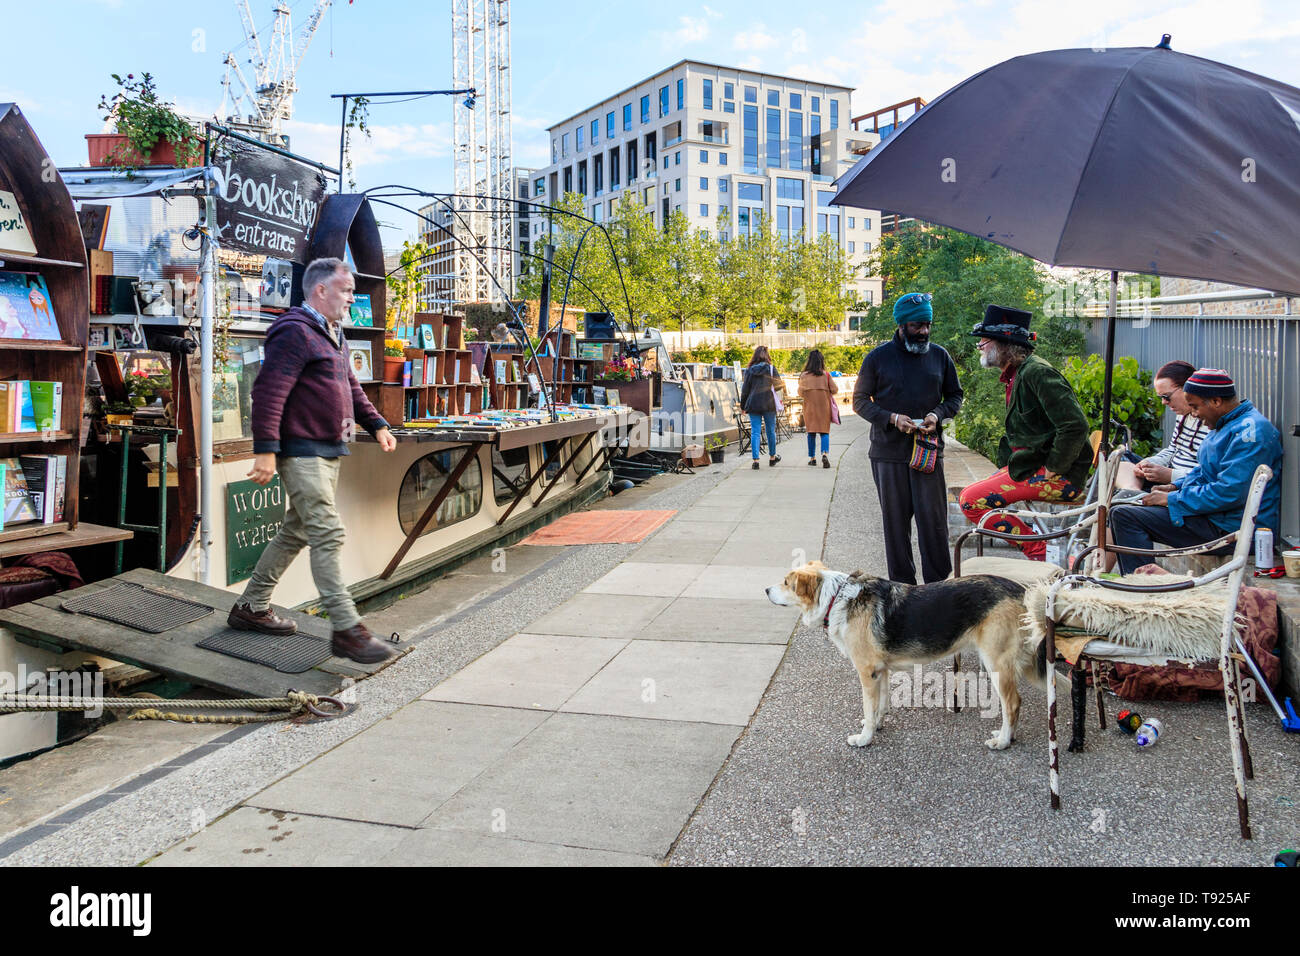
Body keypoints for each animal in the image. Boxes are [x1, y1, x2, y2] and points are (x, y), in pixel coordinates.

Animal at [759, 561, 1045, 754]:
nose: (765, 590)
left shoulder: (867, 672)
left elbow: (869, 708)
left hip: (997, 664)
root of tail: (1021, 590)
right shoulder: (881, 671)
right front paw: (877, 726)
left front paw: (864, 739)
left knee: (1012, 704)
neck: (836, 598)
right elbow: (880, 706)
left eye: (786, 583)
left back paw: (1003, 741)